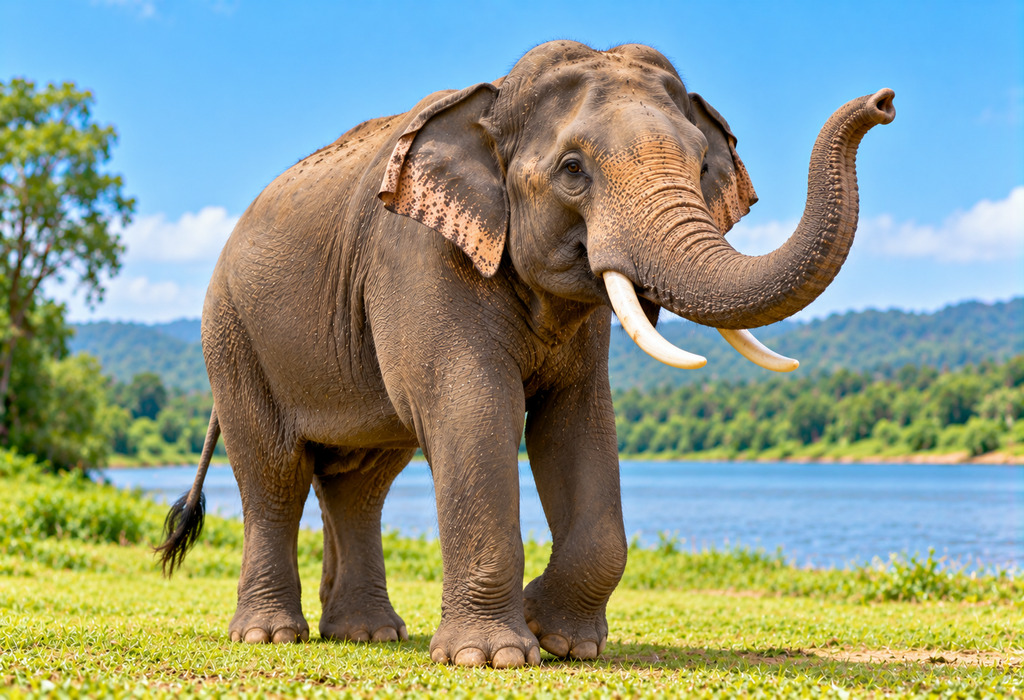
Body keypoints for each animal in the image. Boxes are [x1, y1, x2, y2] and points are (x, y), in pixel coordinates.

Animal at [156, 40, 894, 668]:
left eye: (702, 166)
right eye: (573, 170)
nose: (883, 101)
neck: (491, 105)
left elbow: (577, 425)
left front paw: (560, 640)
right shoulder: (418, 257)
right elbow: (474, 410)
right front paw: (496, 657)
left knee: (361, 481)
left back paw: (369, 634)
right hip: (233, 334)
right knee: (275, 471)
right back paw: (270, 637)